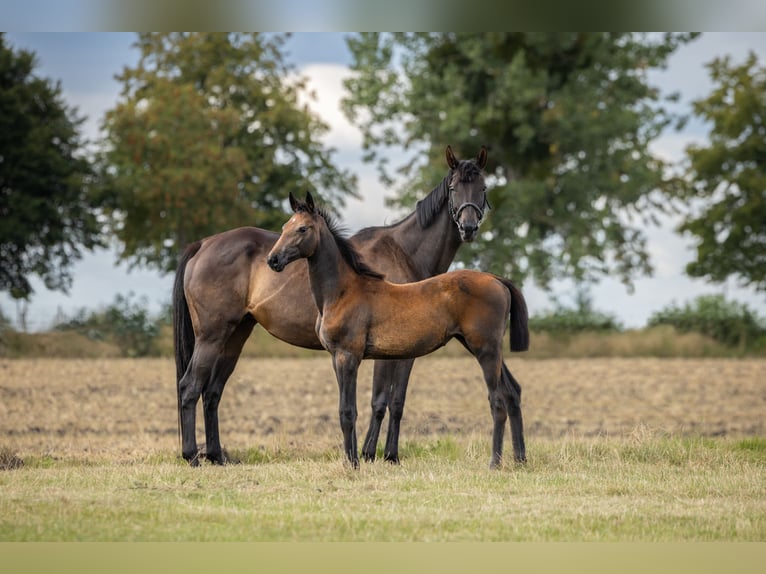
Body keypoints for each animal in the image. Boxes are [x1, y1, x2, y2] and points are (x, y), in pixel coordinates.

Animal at [176, 146, 492, 466]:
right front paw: (369, 453)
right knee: (190, 387)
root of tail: (203, 244)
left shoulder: (406, 352)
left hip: (235, 336)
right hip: (211, 336)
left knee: (212, 392)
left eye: (483, 188)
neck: (403, 251)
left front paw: (390, 455)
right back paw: (192, 456)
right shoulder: (386, 354)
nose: (468, 227)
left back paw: (216, 456)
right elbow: (379, 401)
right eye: (453, 188)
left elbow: (397, 402)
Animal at [268, 194, 528, 468]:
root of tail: (497, 280)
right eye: (284, 227)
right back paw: (520, 459)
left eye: (302, 228)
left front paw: (354, 463)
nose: (273, 260)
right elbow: (345, 410)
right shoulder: (335, 357)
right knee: (512, 392)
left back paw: (495, 463)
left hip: (485, 349)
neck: (341, 292)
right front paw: (351, 459)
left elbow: (348, 411)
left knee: (497, 401)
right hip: (484, 348)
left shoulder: (348, 356)